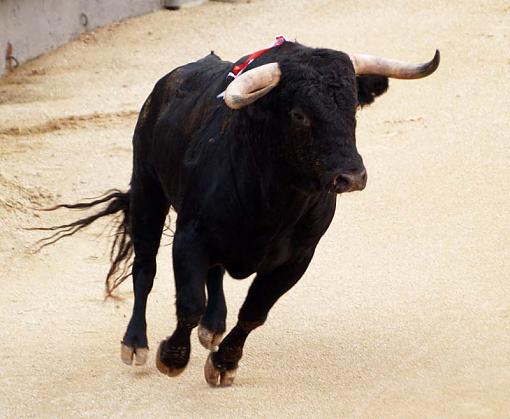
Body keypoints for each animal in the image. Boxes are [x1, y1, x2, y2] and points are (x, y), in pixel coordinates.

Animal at [40, 41, 438, 386]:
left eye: (352, 107)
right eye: (298, 114)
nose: (352, 176)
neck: (274, 200)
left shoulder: (296, 259)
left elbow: (254, 312)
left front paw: (223, 364)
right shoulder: (190, 237)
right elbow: (189, 302)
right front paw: (172, 358)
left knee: (213, 275)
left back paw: (213, 326)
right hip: (147, 190)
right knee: (145, 268)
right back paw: (136, 342)